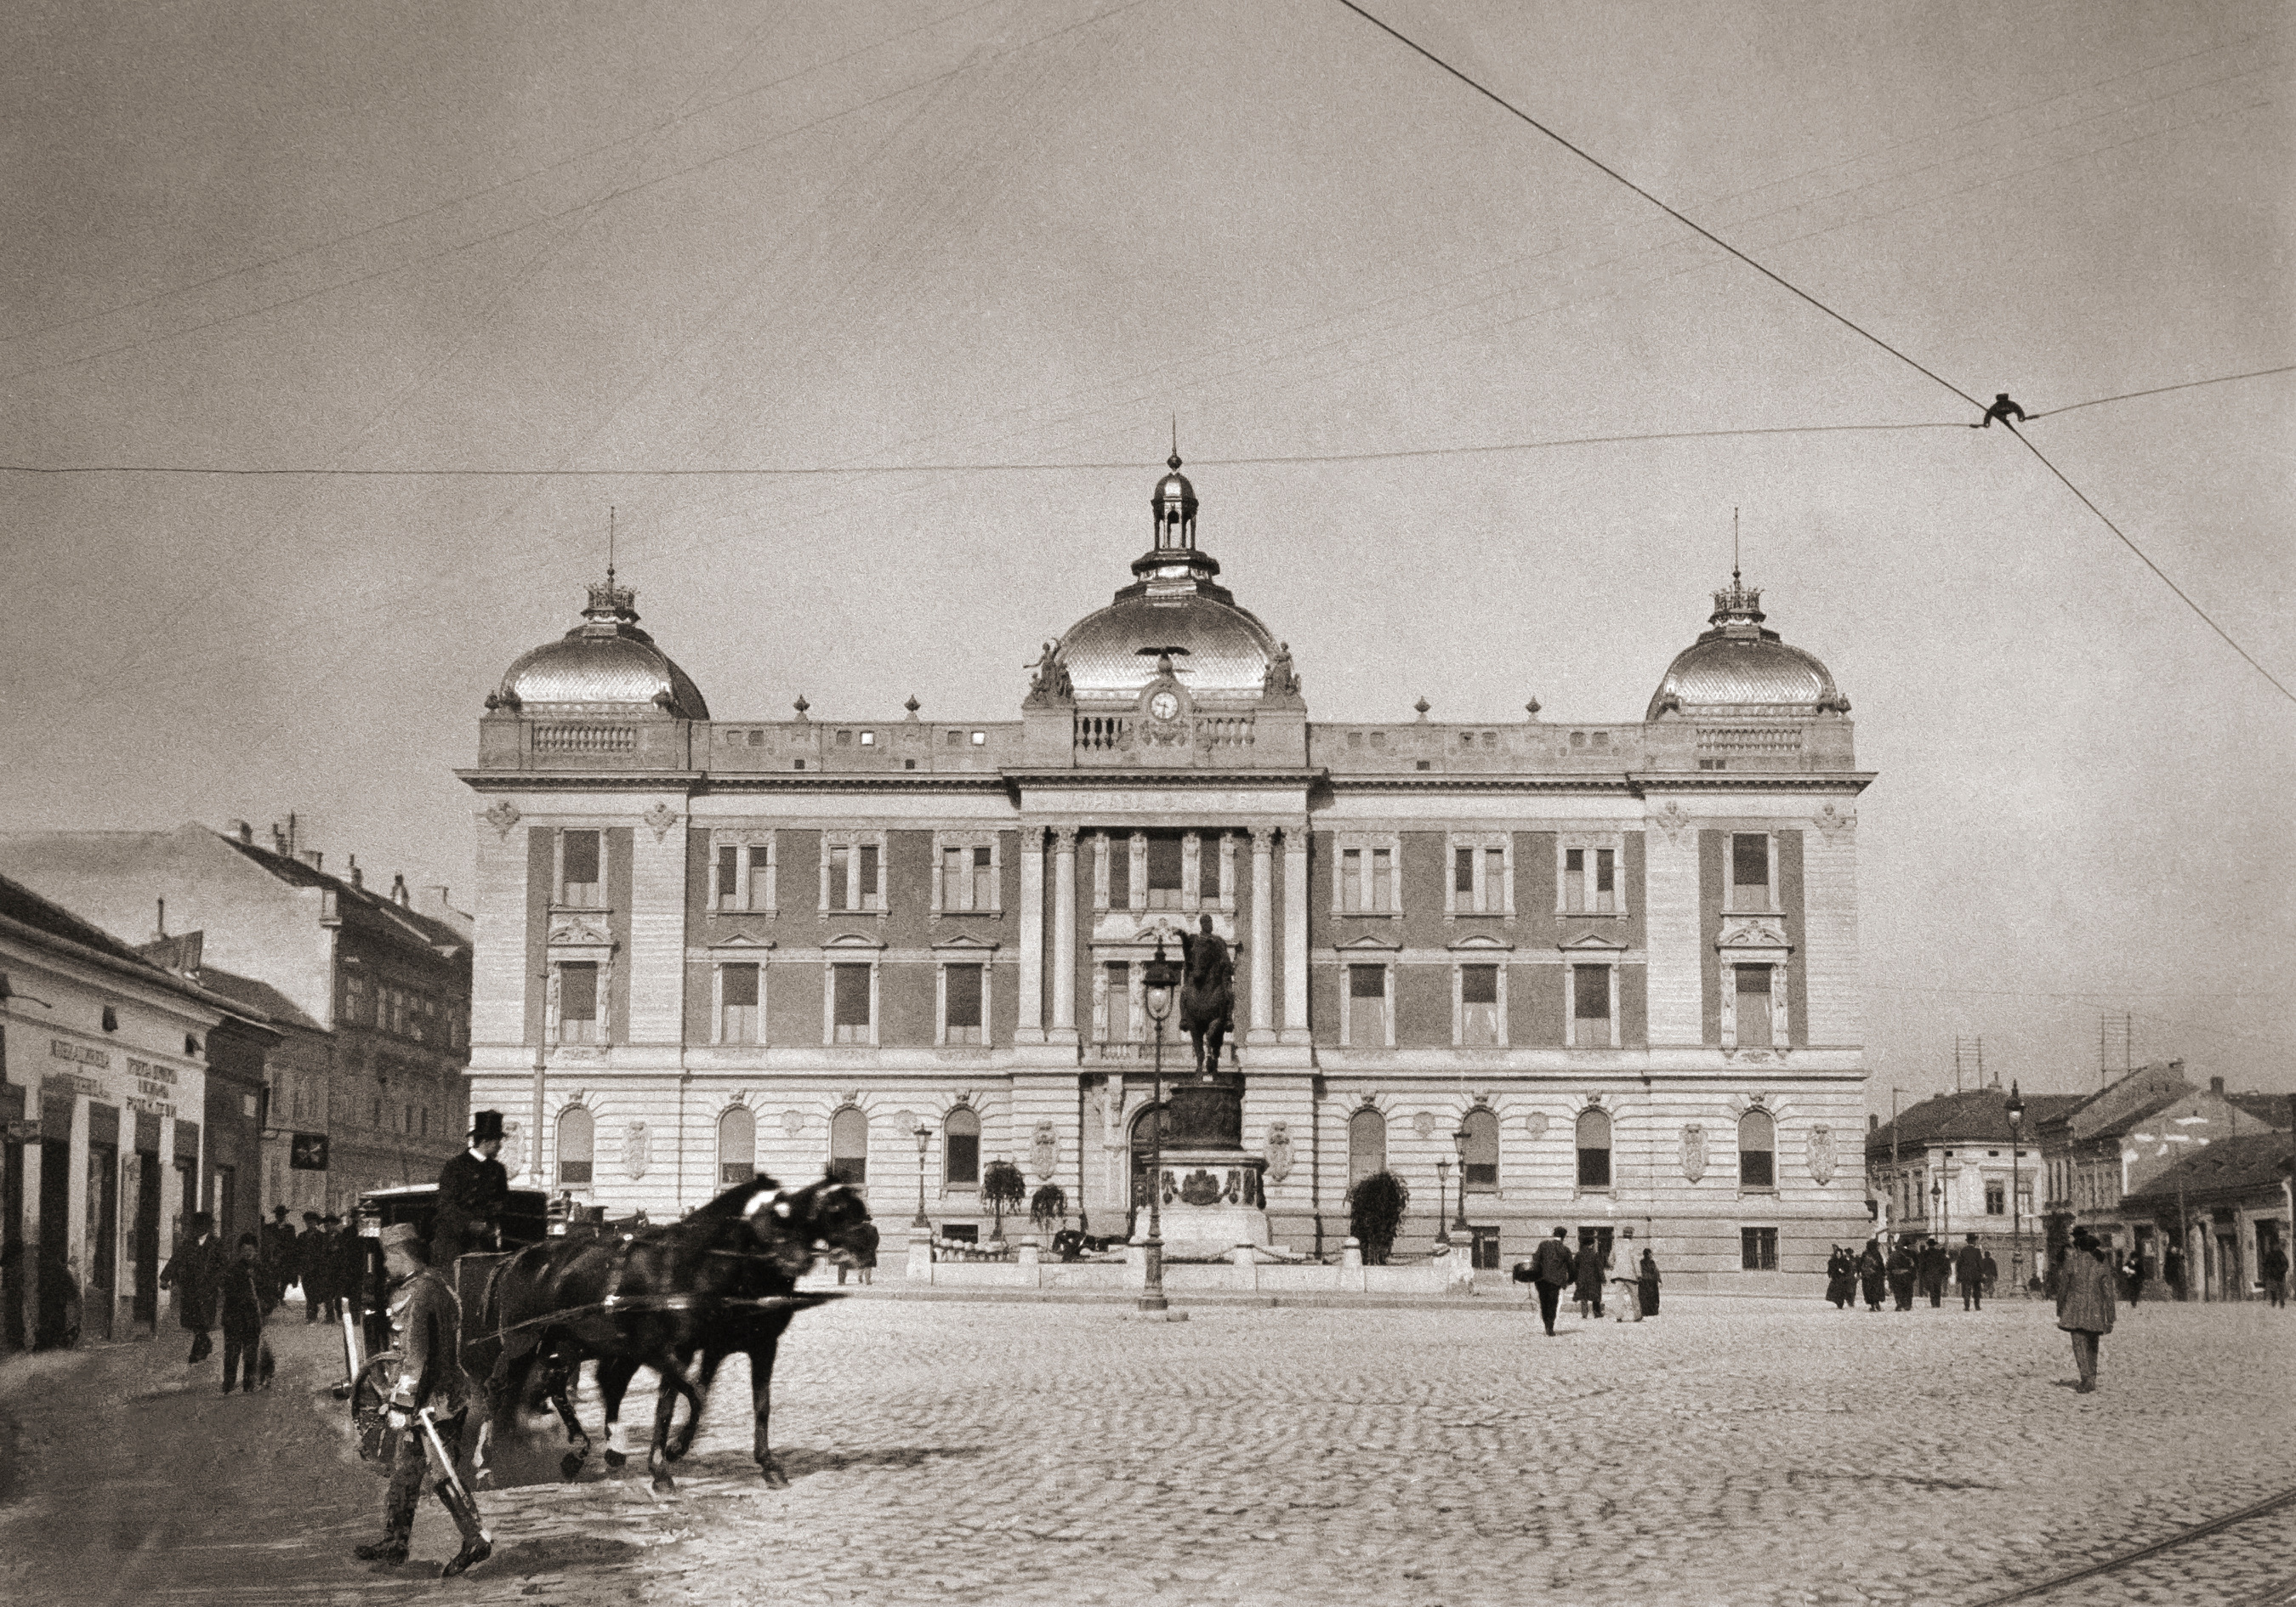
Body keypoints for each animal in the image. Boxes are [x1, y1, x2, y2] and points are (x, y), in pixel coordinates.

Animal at [466, 1166, 867, 1496]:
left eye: (795, 1216)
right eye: (772, 1217)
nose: (867, 1246)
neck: (694, 1265)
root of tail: (516, 1258)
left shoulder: (749, 1345)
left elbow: (754, 1404)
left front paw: (767, 1465)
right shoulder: (675, 1349)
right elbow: (681, 1401)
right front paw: (663, 1464)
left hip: (569, 1342)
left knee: (562, 1386)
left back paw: (583, 1451)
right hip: (523, 1342)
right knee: (499, 1389)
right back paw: (486, 1464)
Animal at [1185, 909, 1240, 1074]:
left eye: (1206, 953)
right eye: (1192, 953)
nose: (1196, 975)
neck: (1203, 993)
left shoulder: (1217, 1021)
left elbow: (1209, 1037)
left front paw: (1209, 1062)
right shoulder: (1193, 1023)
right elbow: (1198, 1048)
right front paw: (1198, 1070)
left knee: (1216, 1045)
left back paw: (1213, 1066)